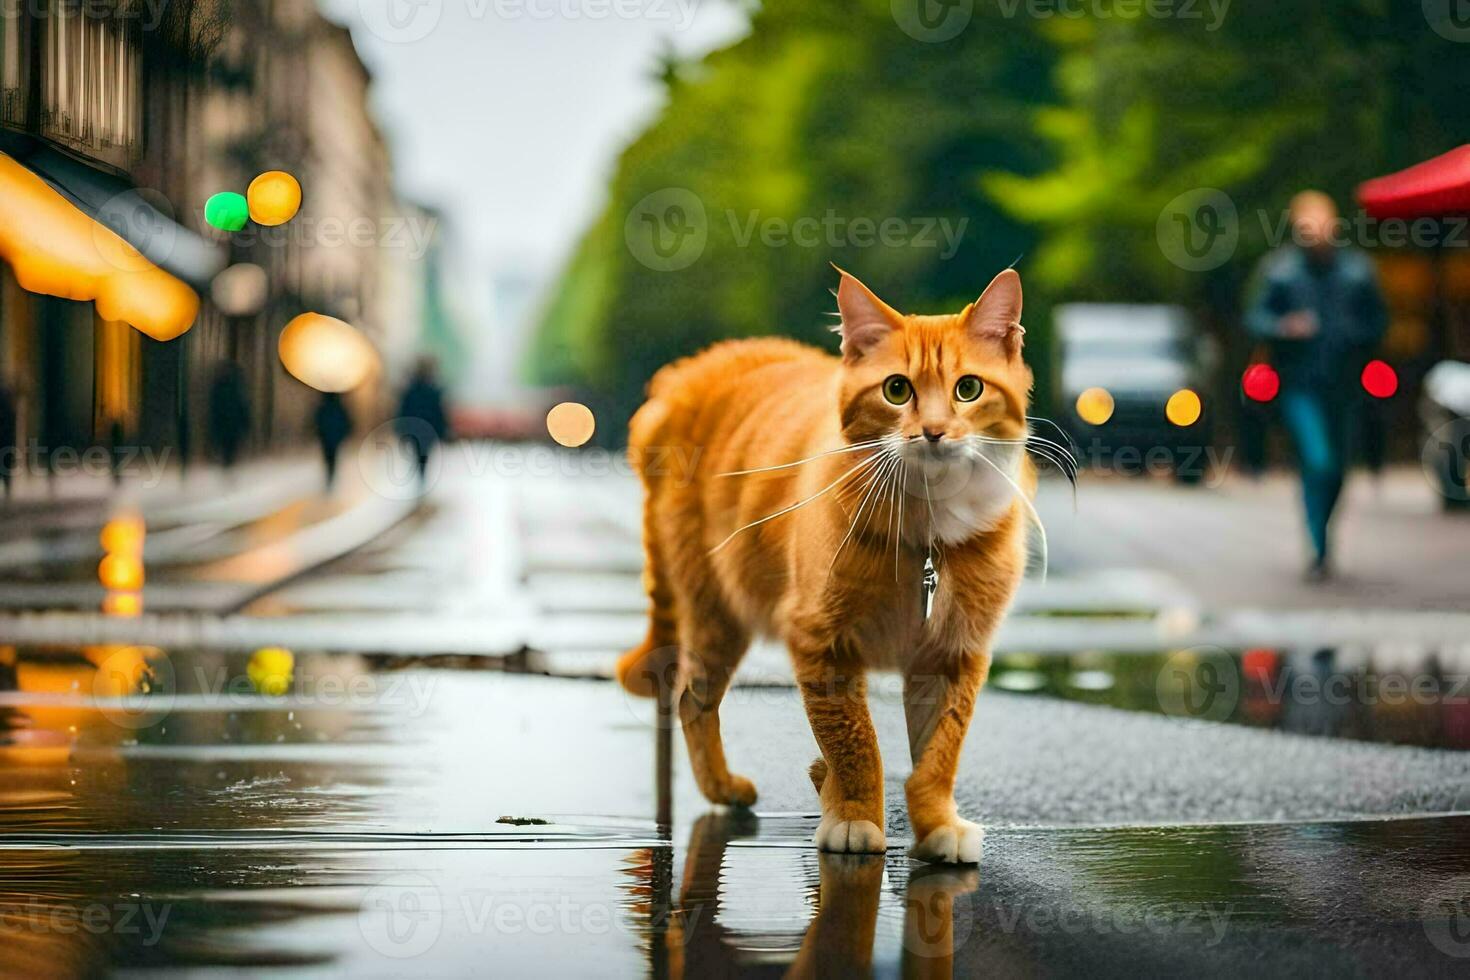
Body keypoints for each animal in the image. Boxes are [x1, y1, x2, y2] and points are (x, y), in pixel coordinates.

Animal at [617, 268, 1034, 863]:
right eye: (897, 390)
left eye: (968, 389)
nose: (933, 432)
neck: (928, 528)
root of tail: (690, 373)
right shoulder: (822, 642)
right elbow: (855, 741)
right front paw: (856, 815)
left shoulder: (954, 656)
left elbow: (939, 755)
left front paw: (935, 824)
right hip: (717, 612)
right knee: (692, 699)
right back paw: (724, 786)